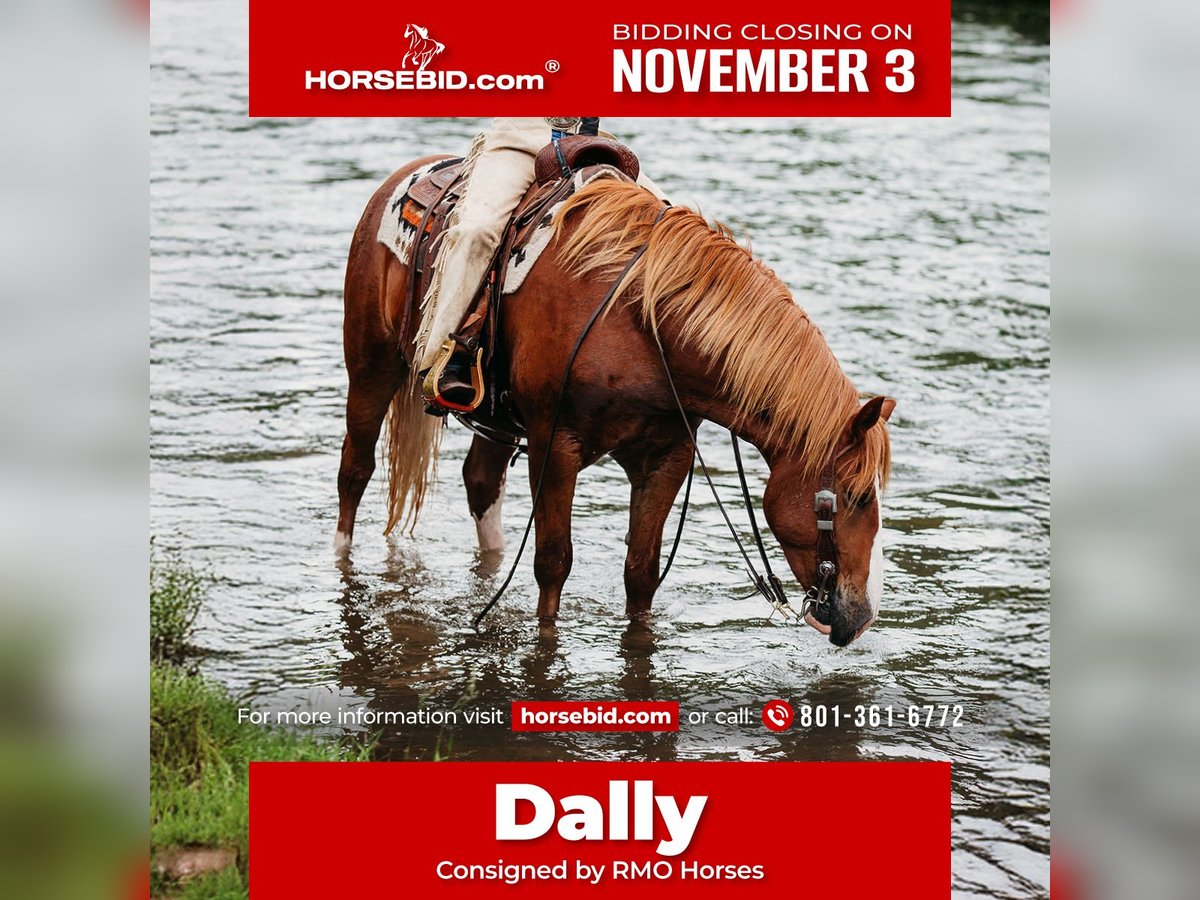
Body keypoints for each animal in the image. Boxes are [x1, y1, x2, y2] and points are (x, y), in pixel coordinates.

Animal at [336, 159, 894, 646]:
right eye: (858, 497)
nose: (863, 616)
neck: (640, 322)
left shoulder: (666, 458)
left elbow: (641, 572)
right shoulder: (555, 447)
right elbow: (552, 562)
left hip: (495, 420)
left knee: (481, 482)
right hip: (371, 368)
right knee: (355, 471)